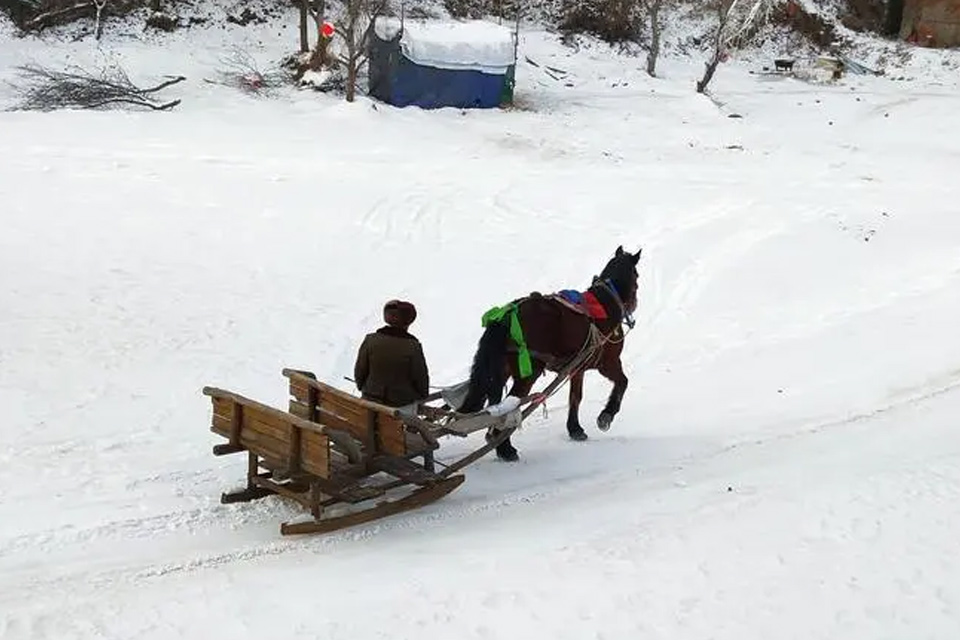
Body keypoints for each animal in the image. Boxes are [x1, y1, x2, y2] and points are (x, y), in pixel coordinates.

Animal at [456, 244, 640, 460]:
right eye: (636, 276)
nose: (634, 304)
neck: (605, 304)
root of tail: (507, 315)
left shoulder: (577, 368)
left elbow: (575, 397)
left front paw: (575, 429)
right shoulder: (608, 362)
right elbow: (622, 382)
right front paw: (606, 416)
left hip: (500, 372)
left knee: (496, 408)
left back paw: (499, 444)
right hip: (528, 374)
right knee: (509, 407)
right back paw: (506, 449)